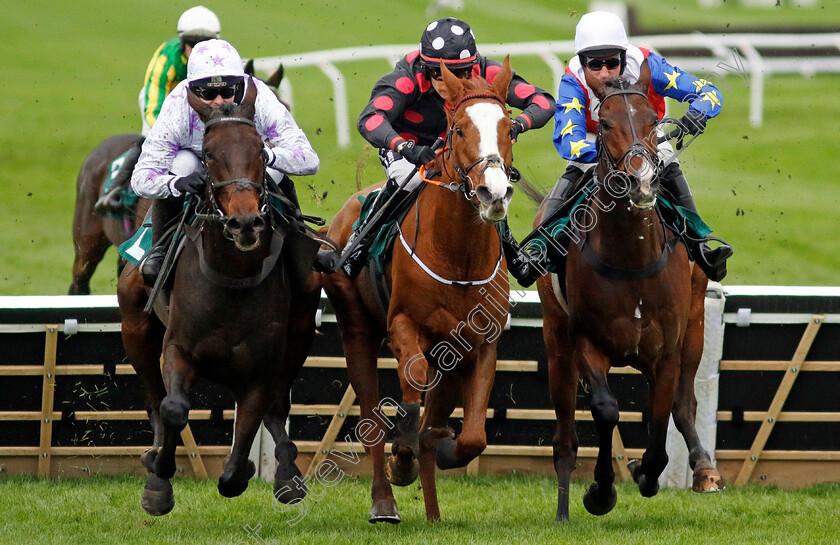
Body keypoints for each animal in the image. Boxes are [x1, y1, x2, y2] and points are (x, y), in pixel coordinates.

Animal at [115, 77, 318, 516]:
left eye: (259, 149)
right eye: (209, 153)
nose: (245, 222)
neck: (231, 281)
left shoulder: (259, 367)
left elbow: (252, 419)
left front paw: (243, 473)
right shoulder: (177, 347)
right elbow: (174, 408)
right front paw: (158, 484)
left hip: (299, 335)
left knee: (278, 407)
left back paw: (286, 473)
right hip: (134, 324)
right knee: (154, 397)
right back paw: (153, 452)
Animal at [322, 57, 516, 520]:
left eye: (509, 127)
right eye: (458, 129)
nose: (494, 192)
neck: (458, 256)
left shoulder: (479, 341)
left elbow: (472, 436)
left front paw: (439, 447)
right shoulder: (403, 326)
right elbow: (409, 403)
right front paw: (402, 459)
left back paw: (432, 510)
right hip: (357, 329)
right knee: (370, 417)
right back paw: (384, 500)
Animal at [536, 72, 724, 520]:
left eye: (653, 121)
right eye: (604, 124)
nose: (641, 181)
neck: (632, 258)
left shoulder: (667, 348)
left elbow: (660, 418)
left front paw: (646, 471)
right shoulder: (586, 342)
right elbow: (606, 410)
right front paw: (600, 491)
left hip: (694, 325)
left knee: (683, 403)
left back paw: (704, 468)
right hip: (557, 343)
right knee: (565, 435)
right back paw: (564, 507)